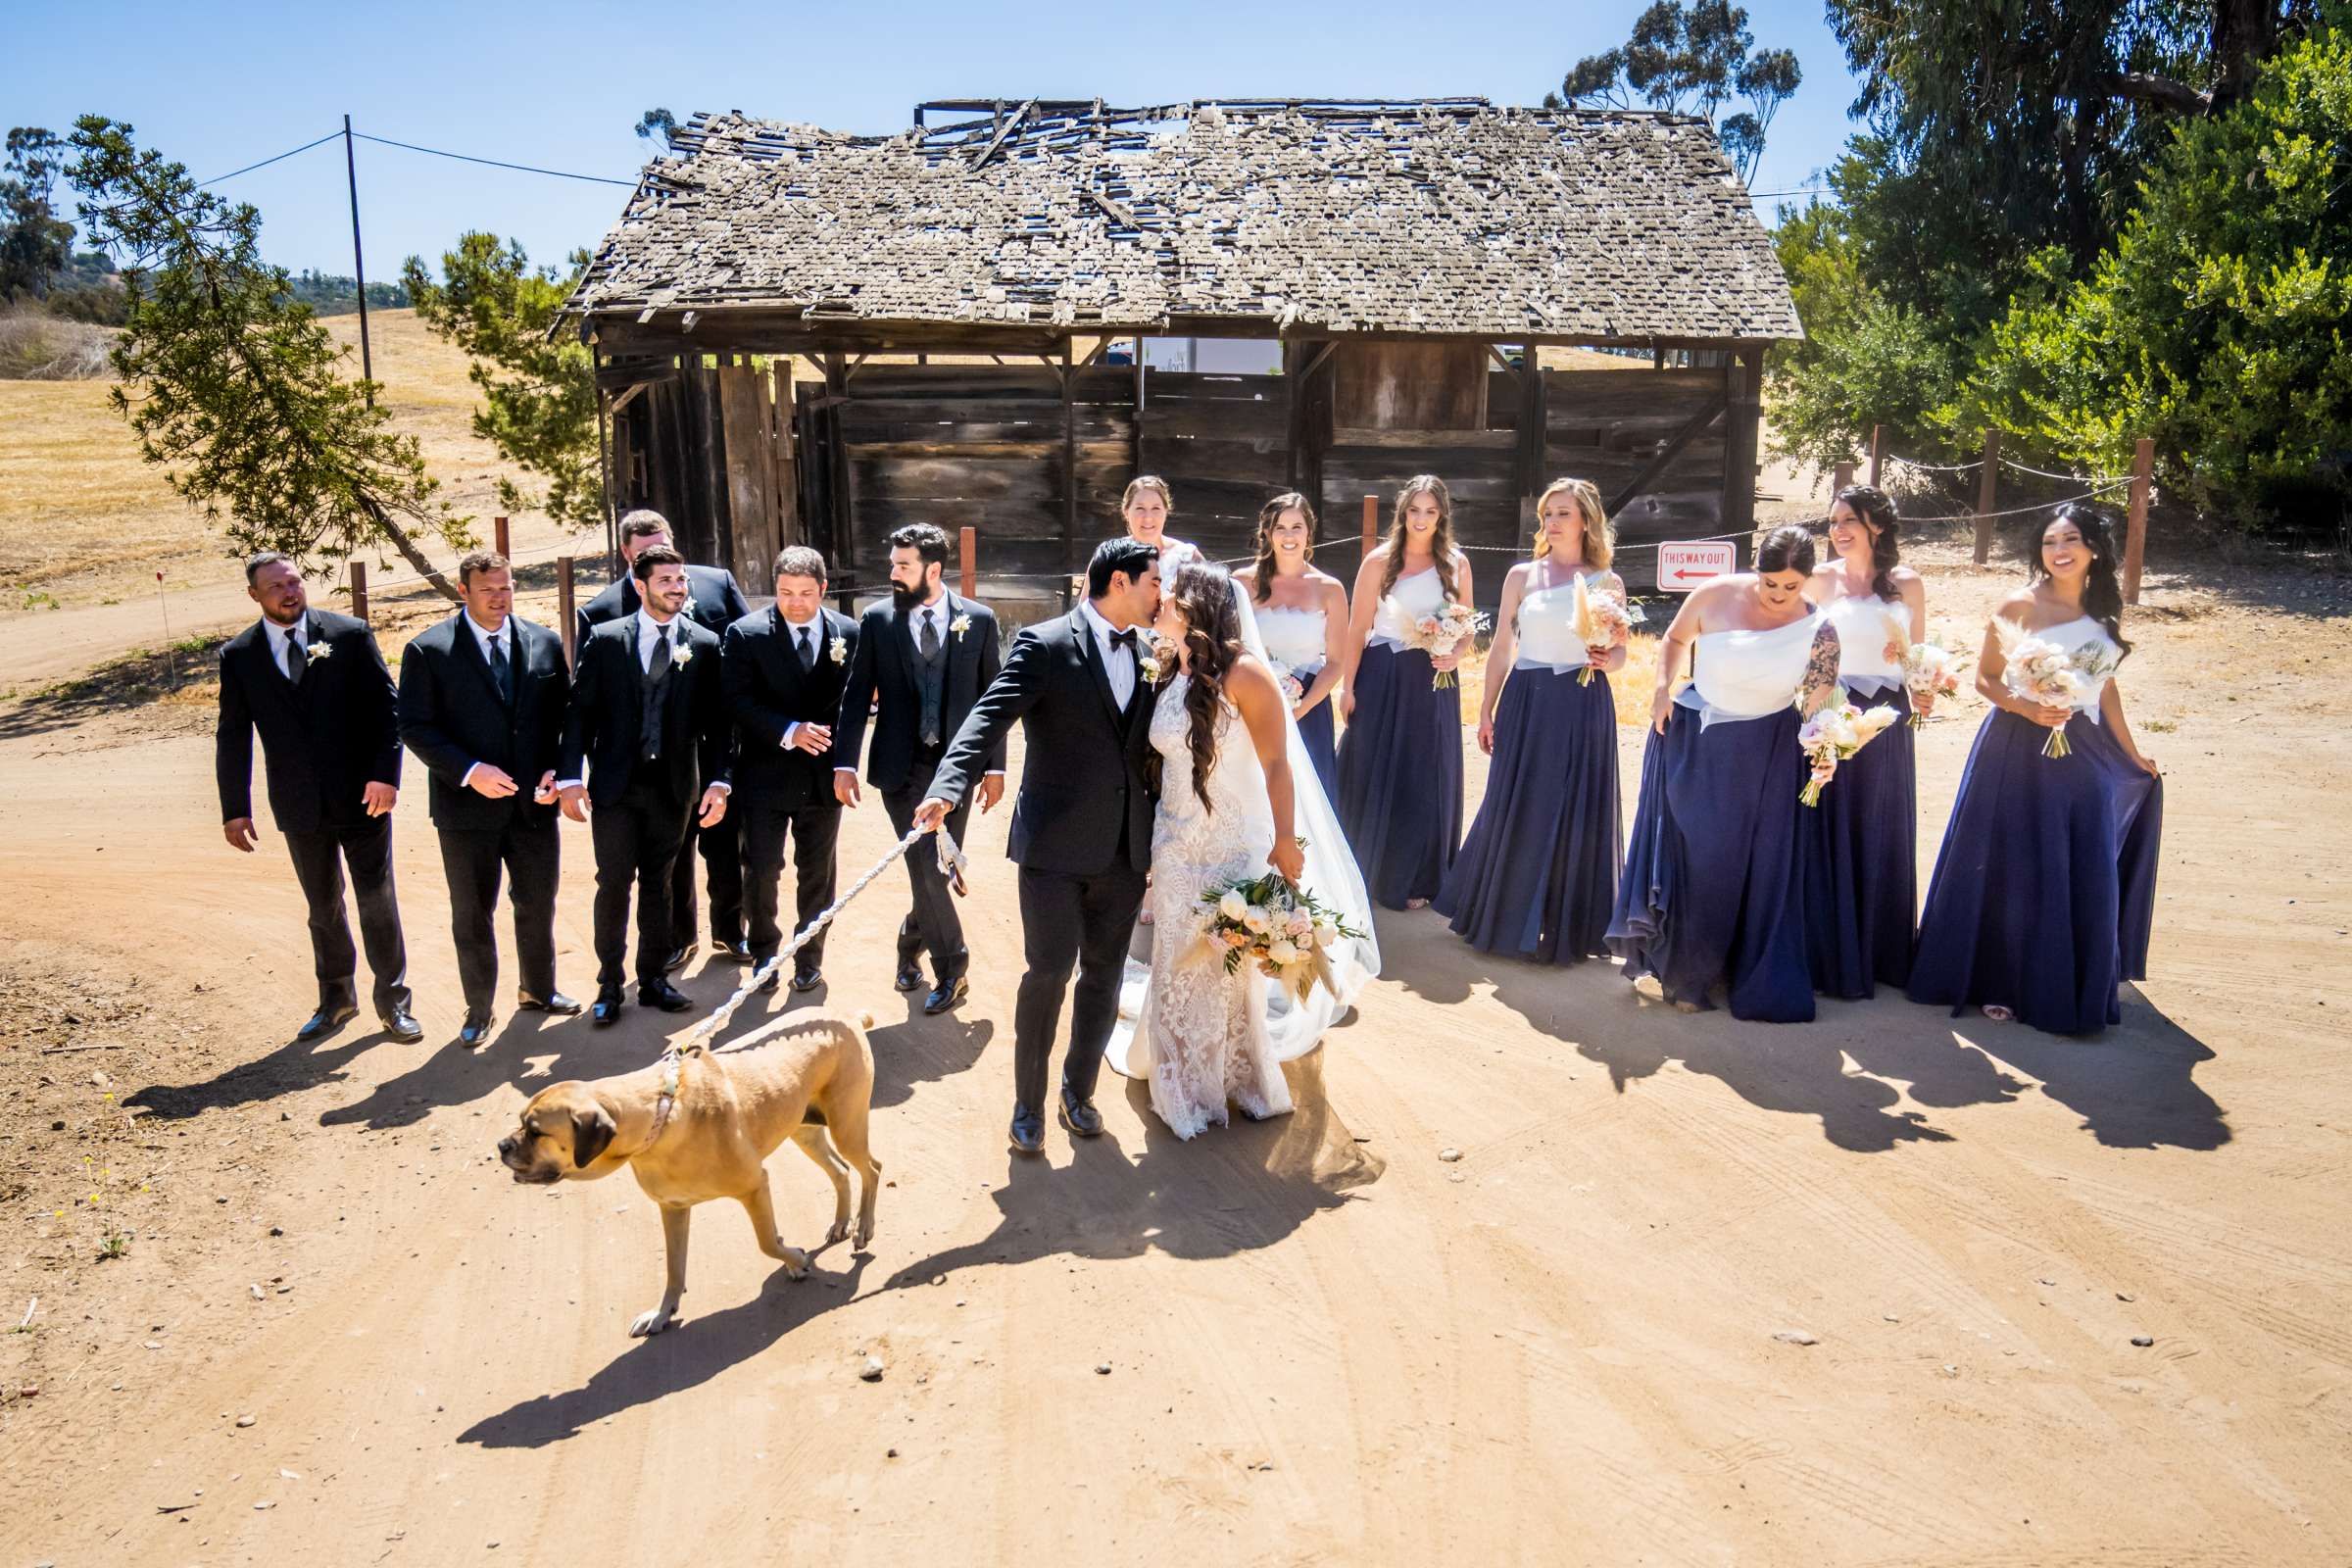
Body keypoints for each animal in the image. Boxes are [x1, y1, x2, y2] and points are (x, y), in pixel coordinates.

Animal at [496, 1005, 884, 1335]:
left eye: (536, 1132)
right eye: (521, 1122)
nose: (501, 1146)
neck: (658, 1115)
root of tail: (845, 1015)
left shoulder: (755, 1185)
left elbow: (767, 1243)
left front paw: (796, 1260)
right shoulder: (673, 1208)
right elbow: (673, 1267)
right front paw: (662, 1312)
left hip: (846, 1126)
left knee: (873, 1168)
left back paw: (863, 1226)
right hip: (805, 1130)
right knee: (840, 1171)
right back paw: (841, 1223)